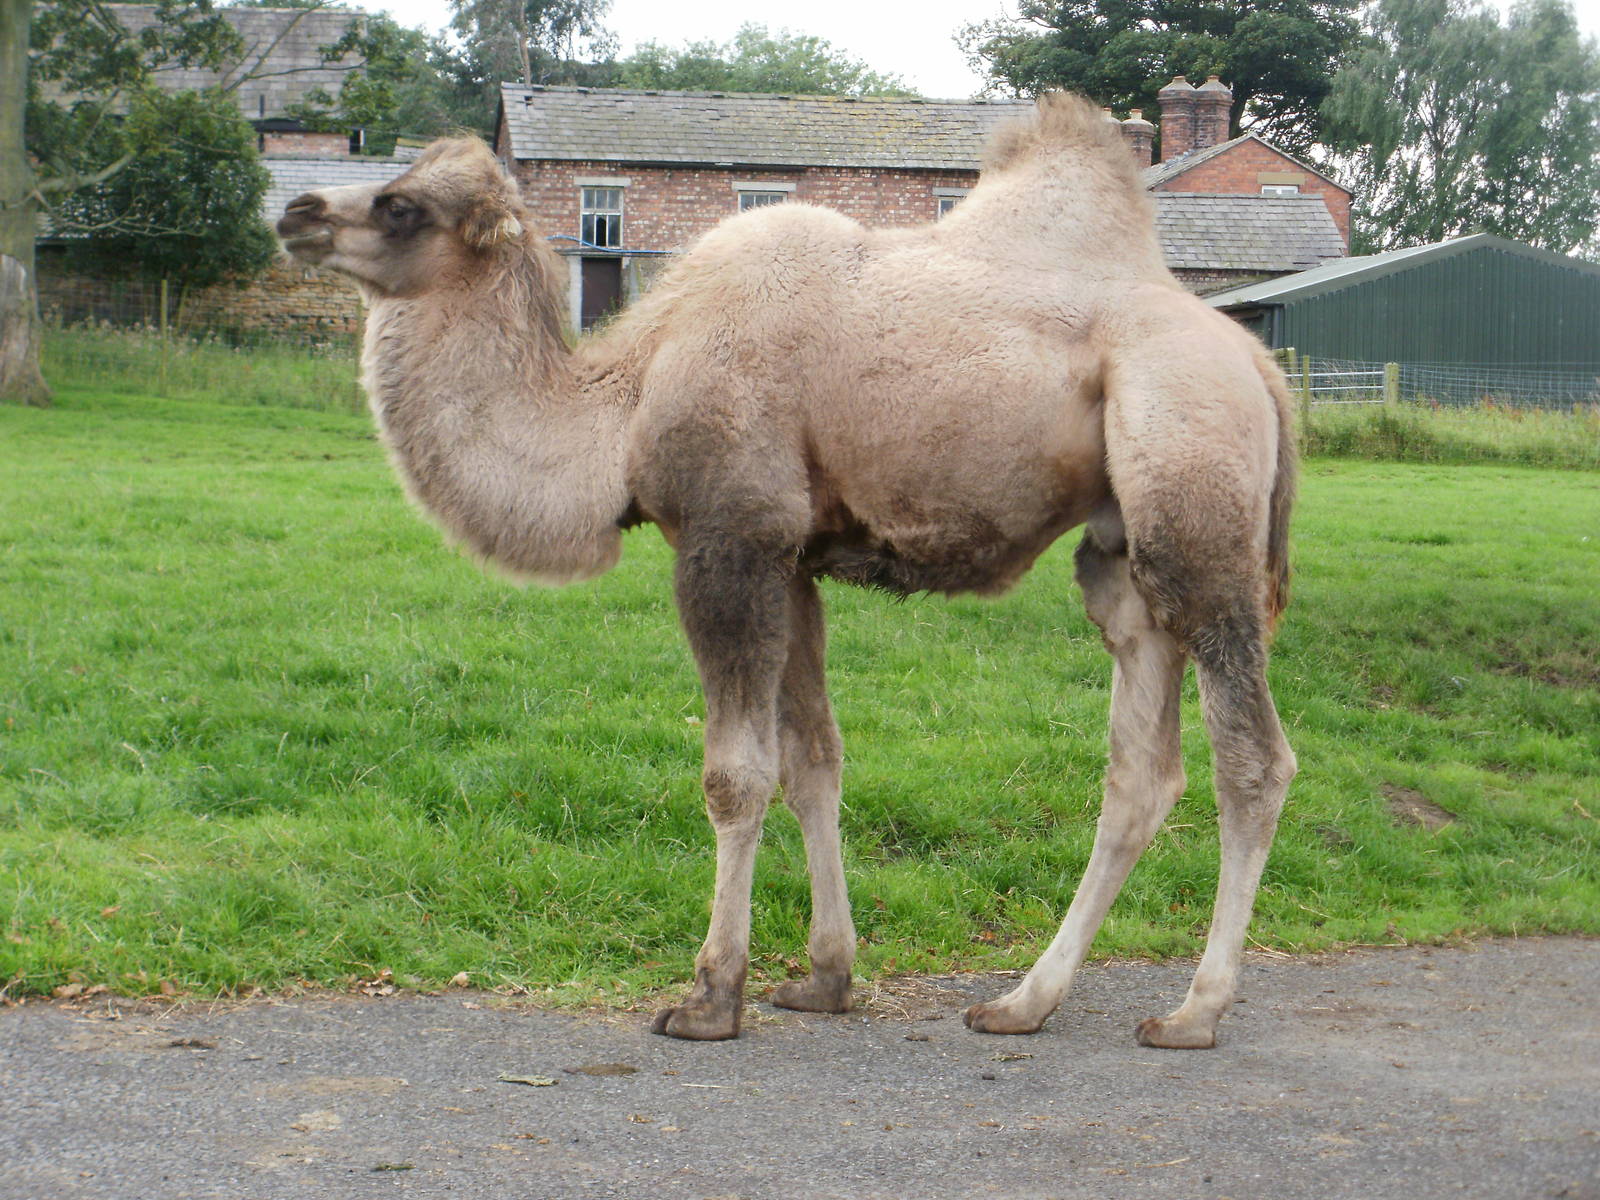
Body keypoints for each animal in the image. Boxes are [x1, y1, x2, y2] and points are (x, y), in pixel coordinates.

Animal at [276, 93, 1298, 1049]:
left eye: (402, 206)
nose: (297, 210)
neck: (627, 403)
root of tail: (1259, 365)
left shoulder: (730, 543)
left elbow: (735, 775)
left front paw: (709, 996)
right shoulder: (795, 562)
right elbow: (814, 764)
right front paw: (824, 978)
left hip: (1194, 489)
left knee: (1253, 757)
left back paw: (1195, 1011)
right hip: (1123, 556)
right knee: (1139, 772)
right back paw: (1023, 1003)